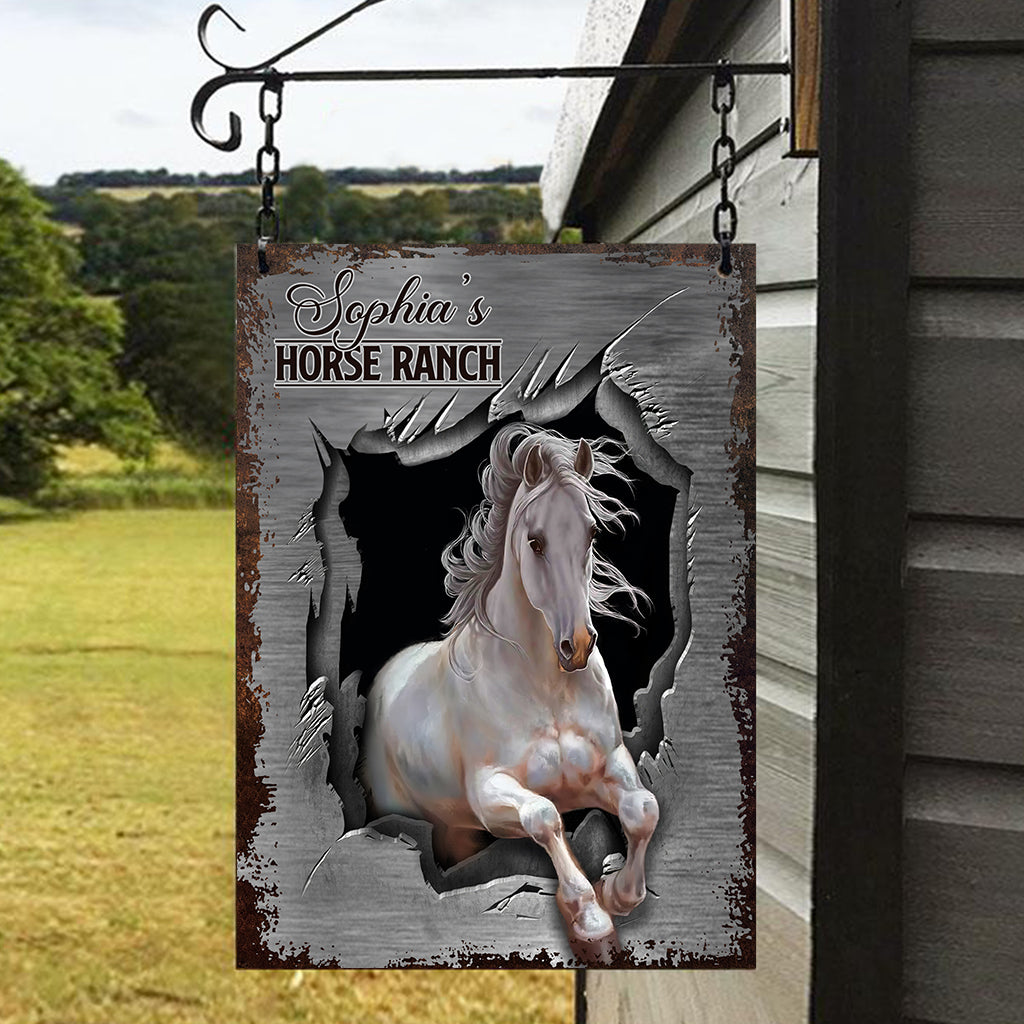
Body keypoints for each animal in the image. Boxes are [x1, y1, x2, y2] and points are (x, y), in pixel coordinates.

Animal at [361, 423, 659, 958]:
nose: (576, 646)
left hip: (456, 827)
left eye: (591, 533)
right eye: (535, 541)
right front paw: (588, 915)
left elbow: (643, 809)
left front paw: (618, 894)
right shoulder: (491, 794)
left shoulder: (608, 765)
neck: (544, 688)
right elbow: (545, 817)